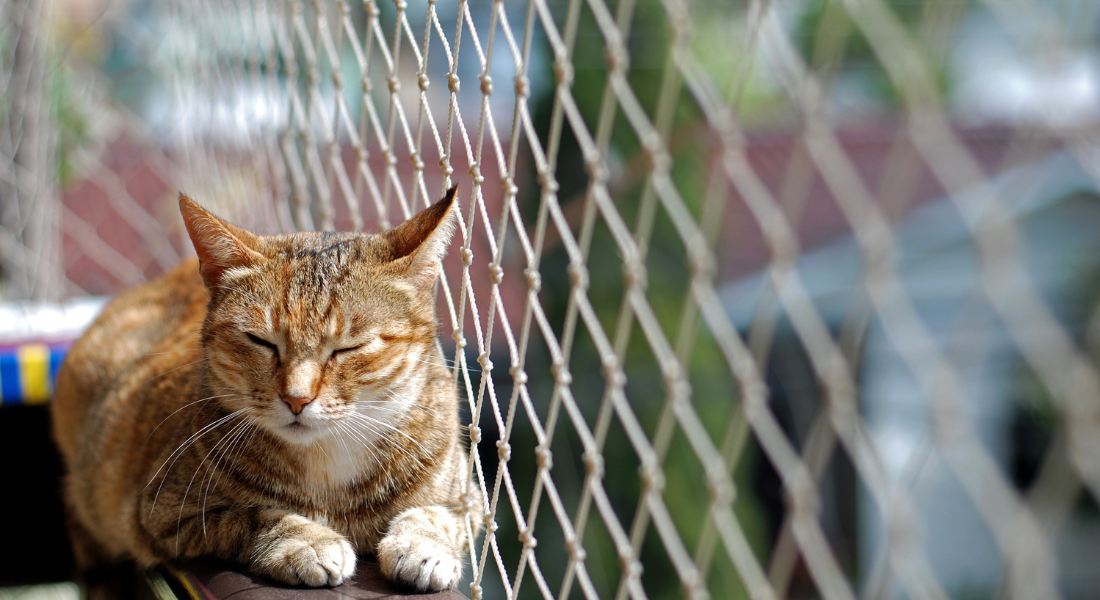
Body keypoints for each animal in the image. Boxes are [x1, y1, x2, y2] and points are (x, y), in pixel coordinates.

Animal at [52, 187, 477, 590]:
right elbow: (254, 515)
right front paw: (307, 541)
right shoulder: (163, 514)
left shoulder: (469, 499)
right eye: (262, 341)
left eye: (349, 347)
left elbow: (440, 514)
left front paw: (424, 547)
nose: (297, 398)